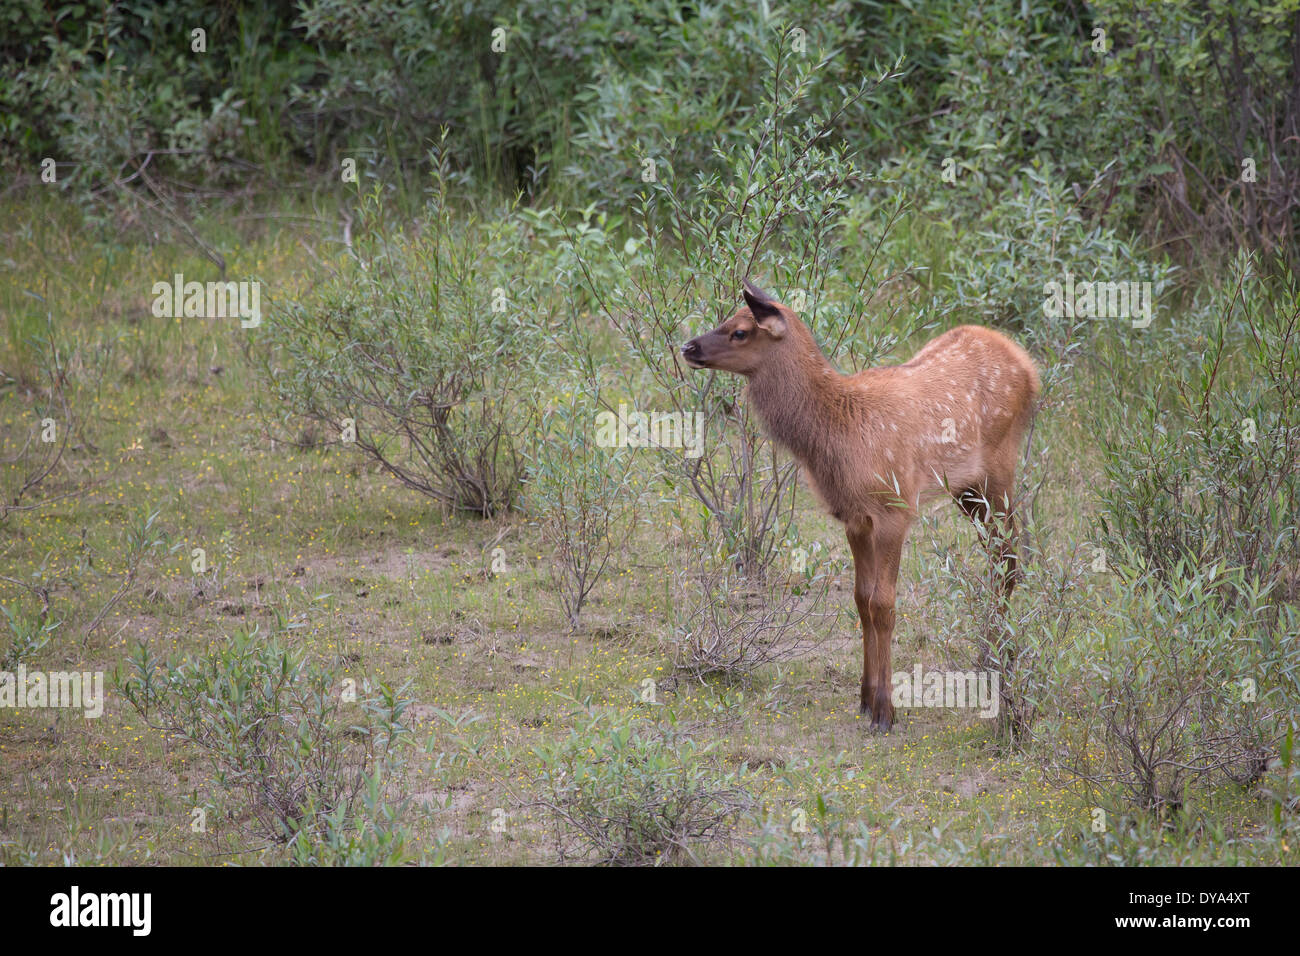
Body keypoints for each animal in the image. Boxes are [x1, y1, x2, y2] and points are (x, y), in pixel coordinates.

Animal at [686, 278, 1040, 733]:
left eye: (740, 331)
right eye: (727, 319)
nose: (688, 346)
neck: (839, 438)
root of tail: (1028, 366)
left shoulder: (895, 508)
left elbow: (883, 604)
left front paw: (887, 710)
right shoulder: (854, 518)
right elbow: (860, 599)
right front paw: (865, 699)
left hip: (999, 469)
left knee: (1010, 556)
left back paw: (1002, 660)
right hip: (967, 488)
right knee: (1002, 557)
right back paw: (992, 653)